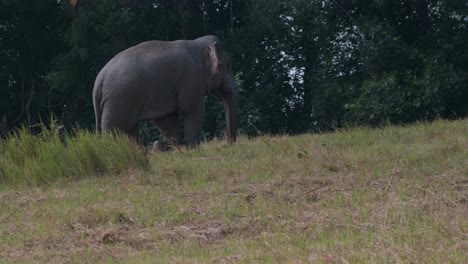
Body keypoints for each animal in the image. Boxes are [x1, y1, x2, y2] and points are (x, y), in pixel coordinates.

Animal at [91, 34, 238, 146]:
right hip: (119, 102)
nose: (229, 144)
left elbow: (166, 119)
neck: (198, 45)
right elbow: (192, 110)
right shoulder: (191, 78)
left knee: (129, 131)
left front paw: (179, 148)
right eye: (227, 66)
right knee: (114, 131)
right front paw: (193, 148)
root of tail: (99, 80)